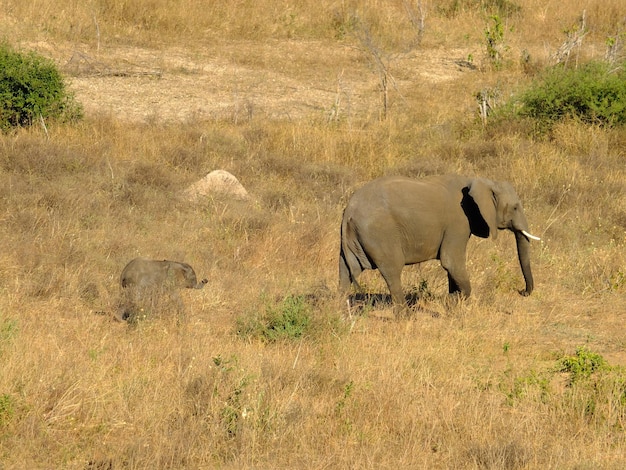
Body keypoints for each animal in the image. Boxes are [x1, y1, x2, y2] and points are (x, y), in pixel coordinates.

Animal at [338, 174, 540, 306]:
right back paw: (404, 316)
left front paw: (452, 301)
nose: (522, 292)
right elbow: (451, 262)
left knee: (346, 272)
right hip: (380, 234)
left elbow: (452, 268)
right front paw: (456, 302)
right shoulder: (458, 223)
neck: (481, 180)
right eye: (515, 207)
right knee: (392, 272)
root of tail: (349, 210)